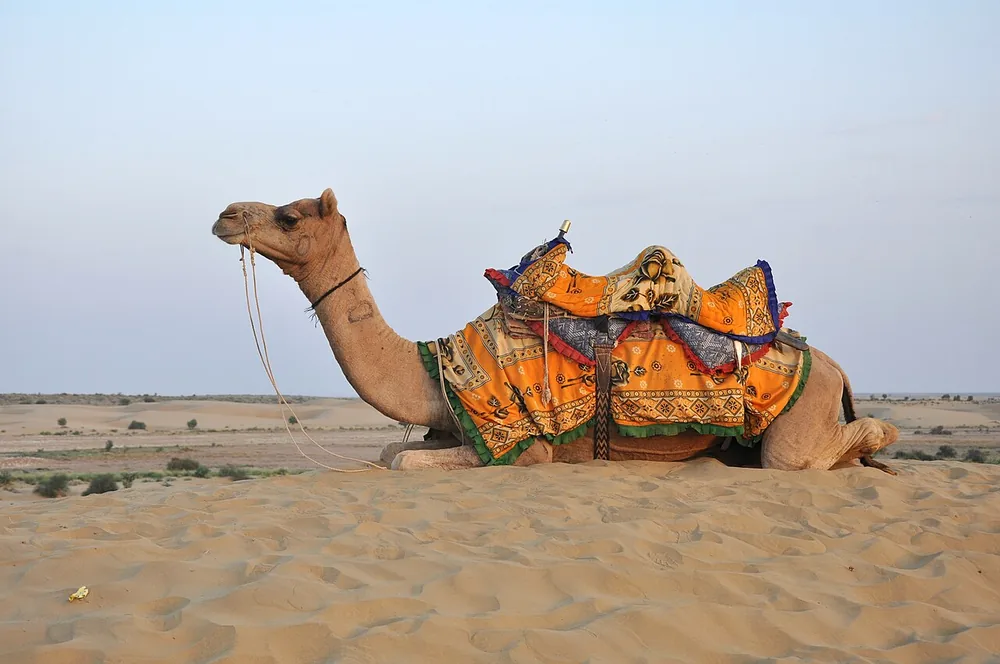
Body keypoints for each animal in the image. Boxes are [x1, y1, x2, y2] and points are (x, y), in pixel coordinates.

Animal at [211, 188, 900, 473]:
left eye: (289, 216)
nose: (226, 214)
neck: (435, 366)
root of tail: (830, 364)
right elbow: (388, 452)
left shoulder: (524, 443)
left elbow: (402, 461)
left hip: (799, 421)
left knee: (829, 447)